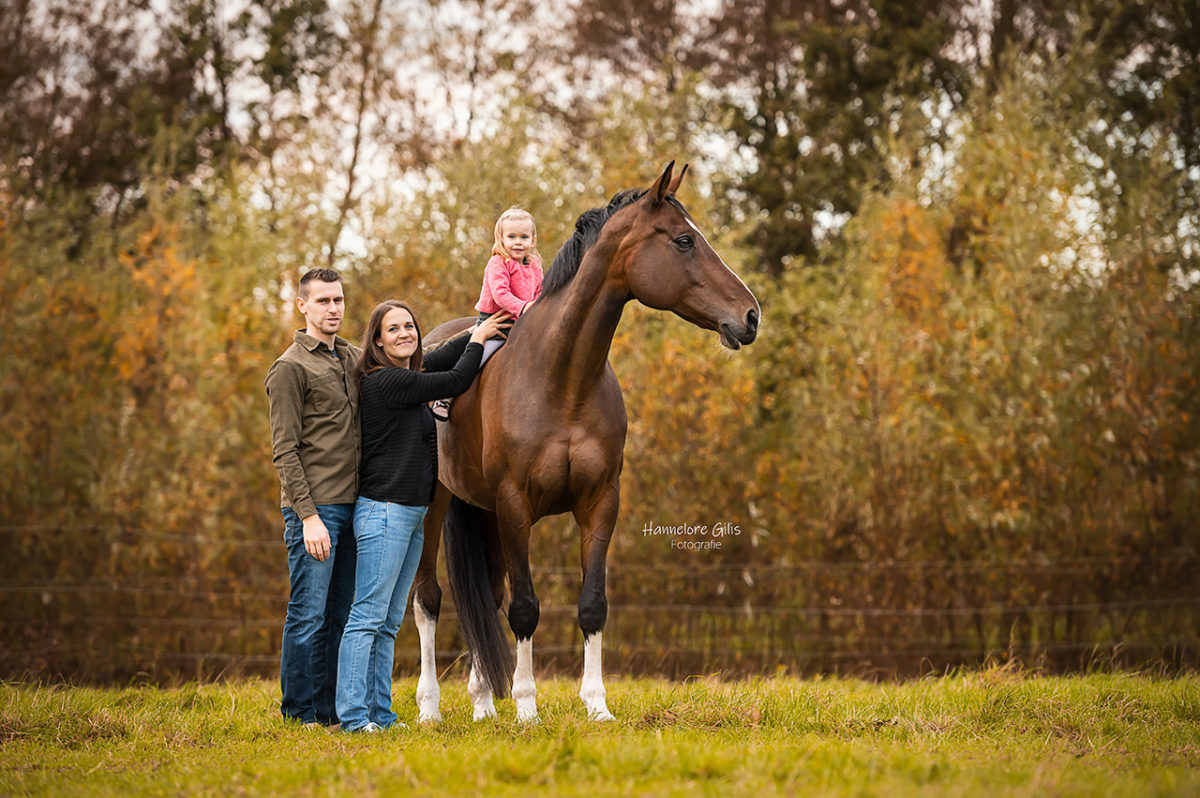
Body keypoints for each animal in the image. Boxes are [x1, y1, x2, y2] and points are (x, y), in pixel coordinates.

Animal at [410, 161, 760, 723]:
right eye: (684, 240)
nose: (750, 316)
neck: (562, 379)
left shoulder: (600, 503)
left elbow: (592, 604)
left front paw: (597, 704)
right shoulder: (515, 506)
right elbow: (525, 608)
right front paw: (528, 709)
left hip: (480, 510)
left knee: (483, 595)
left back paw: (483, 703)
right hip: (435, 506)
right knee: (428, 599)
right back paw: (430, 708)